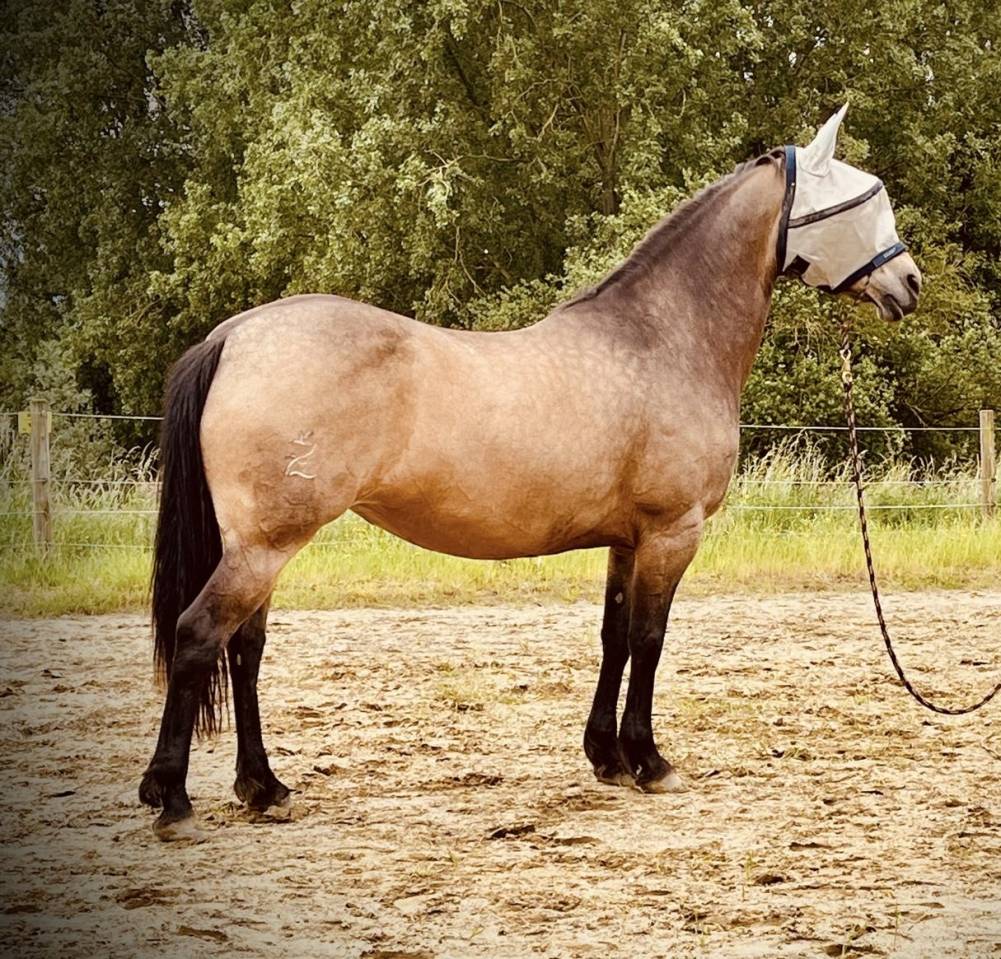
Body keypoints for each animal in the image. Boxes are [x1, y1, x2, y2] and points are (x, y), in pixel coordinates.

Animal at [139, 106, 921, 840]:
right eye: (864, 198)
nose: (908, 282)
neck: (661, 339)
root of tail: (233, 335)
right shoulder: (672, 533)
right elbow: (649, 640)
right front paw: (649, 761)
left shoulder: (627, 540)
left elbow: (613, 636)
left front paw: (606, 757)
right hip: (266, 544)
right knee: (199, 636)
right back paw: (172, 797)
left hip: (259, 547)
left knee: (245, 649)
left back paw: (263, 787)